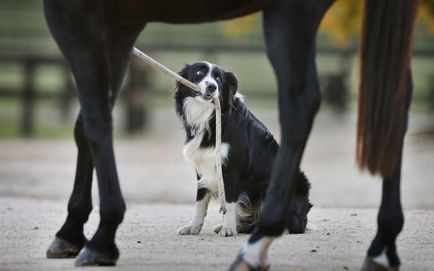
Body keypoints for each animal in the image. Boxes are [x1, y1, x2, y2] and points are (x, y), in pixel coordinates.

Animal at [175, 62, 310, 237]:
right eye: (198, 73)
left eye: (218, 79)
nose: (212, 87)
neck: (212, 117)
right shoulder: (203, 166)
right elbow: (200, 201)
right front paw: (193, 228)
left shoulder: (231, 169)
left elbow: (229, 203)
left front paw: (228, 229)